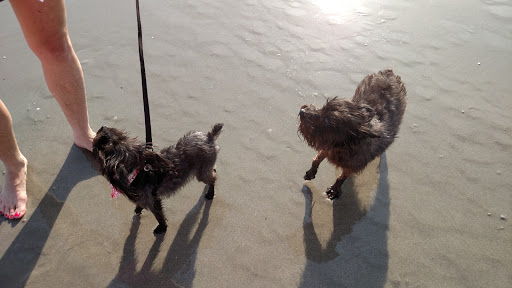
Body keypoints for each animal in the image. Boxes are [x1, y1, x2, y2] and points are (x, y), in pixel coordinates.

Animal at [93, 123, 223, 234]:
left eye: (105, 142)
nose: (103, 127)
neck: (137, 172)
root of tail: (209, 136)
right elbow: (141, 204)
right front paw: (138, 209)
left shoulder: (153, 200)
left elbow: (159, 215)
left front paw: (162, 228)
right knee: (213, 171)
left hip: (201, 172)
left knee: (212, 178)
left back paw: (210, 193)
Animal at [298, 70, 406, 200]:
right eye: (324, 106)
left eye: (327, 120)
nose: (302, 111)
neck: (344, 146)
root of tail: (389, 72)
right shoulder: (327, 147)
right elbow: (317, 159)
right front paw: (311, 172)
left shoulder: (352, 165)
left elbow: (342, 176)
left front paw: (334, 189)